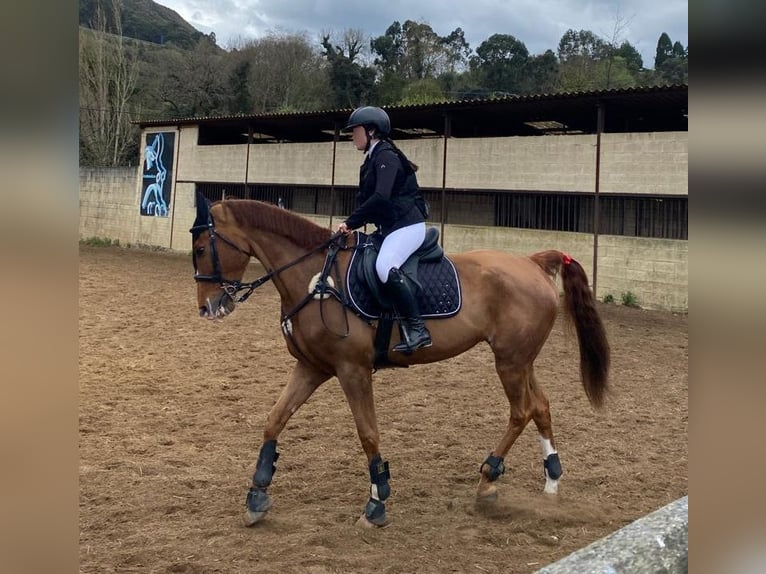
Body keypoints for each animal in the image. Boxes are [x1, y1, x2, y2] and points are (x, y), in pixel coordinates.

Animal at [190, 196, 612, 528]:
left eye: (200, 249)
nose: (208, 308)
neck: (316, 279)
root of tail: (534, 261)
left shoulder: (352, 371)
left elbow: (368, 433)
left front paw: (376, 502)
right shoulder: (312, 368)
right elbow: (274, 420)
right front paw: (257, 495)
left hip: (509, 362)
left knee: (521, 411)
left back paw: (488, 476)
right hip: (522, 359)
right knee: (540, 406)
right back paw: (550, 484)